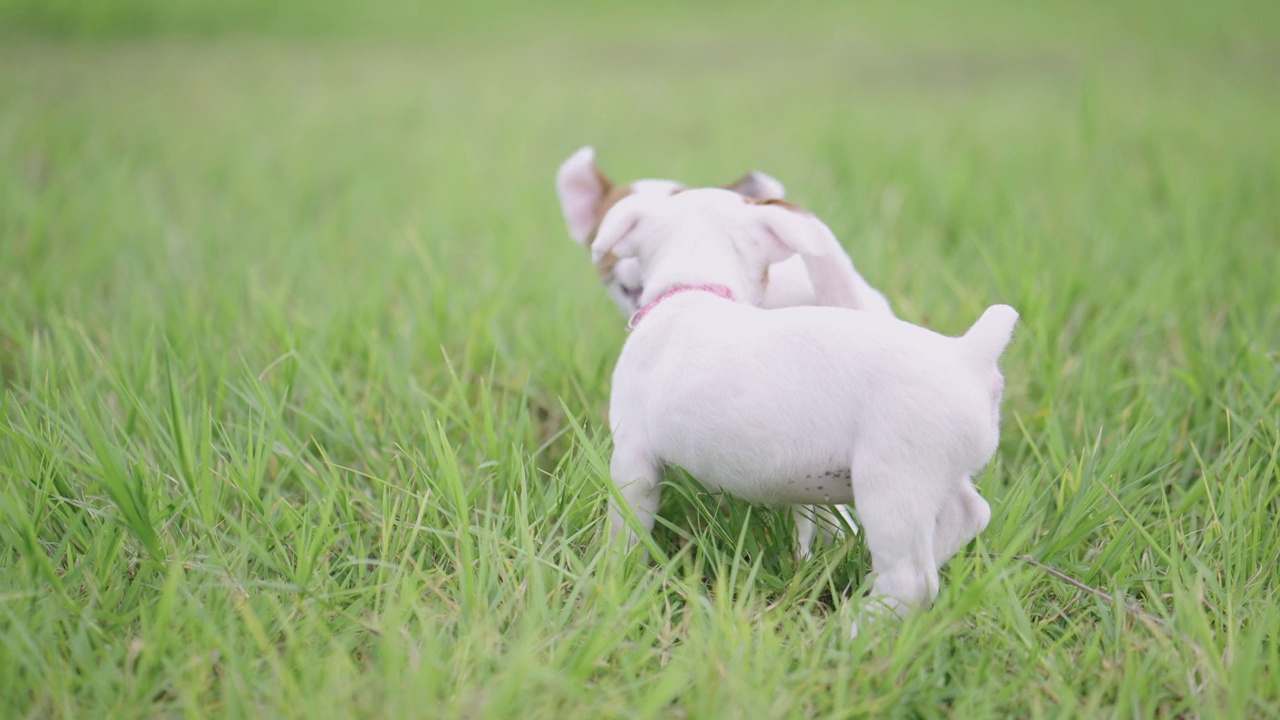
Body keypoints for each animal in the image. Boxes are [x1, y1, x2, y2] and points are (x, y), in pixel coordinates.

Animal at [591, 188, 1018, 620]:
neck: (696, 287)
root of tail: (970, 355)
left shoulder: (633, 461)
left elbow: (626, 533)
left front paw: (617, 584)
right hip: (938, 475)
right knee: (967, 516)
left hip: (893, 482)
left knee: (912, 579)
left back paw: (855, 625)